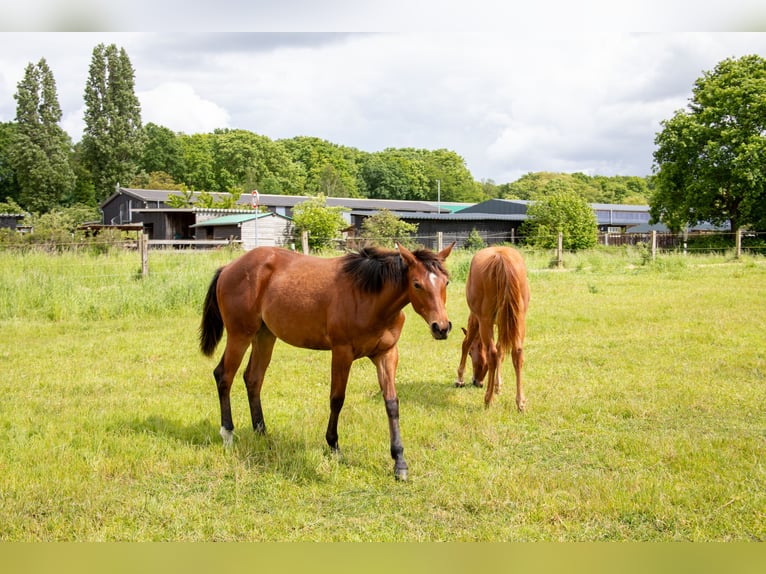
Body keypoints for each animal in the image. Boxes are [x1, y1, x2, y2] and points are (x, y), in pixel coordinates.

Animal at [199, 242, 454, 481]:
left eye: (446, 282)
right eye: (416, 284)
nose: (441, 327)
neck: (369, 296)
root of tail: (228, 268)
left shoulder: (387, 354)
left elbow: (392, 403)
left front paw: (399, 461)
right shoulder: (342, 353)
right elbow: (337, 399)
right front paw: (333, 446)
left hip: (264, 335)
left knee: (253, 378)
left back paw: (261, 432)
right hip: (239, 335)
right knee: (224, 376)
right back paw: (228, 434)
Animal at [455, 246, 529, 410]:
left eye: (471, 354)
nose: (476, 382)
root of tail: (501, 258)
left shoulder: (475, 319)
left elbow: (466, 343)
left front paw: (459, 378)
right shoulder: (503, 324)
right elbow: (501, 351)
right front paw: (498, 385)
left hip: (485, 322)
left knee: (492, 354)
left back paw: (488, 399)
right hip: (519, 320)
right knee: (517, 353)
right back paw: (520, 401)